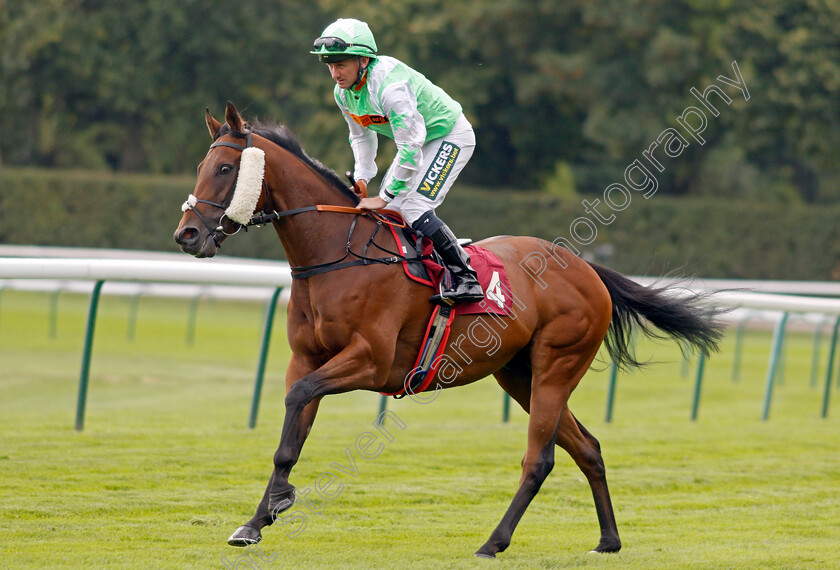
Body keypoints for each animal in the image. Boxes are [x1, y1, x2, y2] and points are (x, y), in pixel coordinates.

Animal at [172, 101, 720, 556]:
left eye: (225, 169)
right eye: (200, 167)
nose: (187, 235)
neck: (337, 255)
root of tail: (587, 268)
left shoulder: (371, 362)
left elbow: (299, 399)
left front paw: (279, 501)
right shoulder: (306, 358)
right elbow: (291, 431)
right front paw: (256, 520)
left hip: (557, 366)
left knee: (539, 459)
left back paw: (493, 542)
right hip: (518, 375)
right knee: (588, 448)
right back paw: (608, 540)